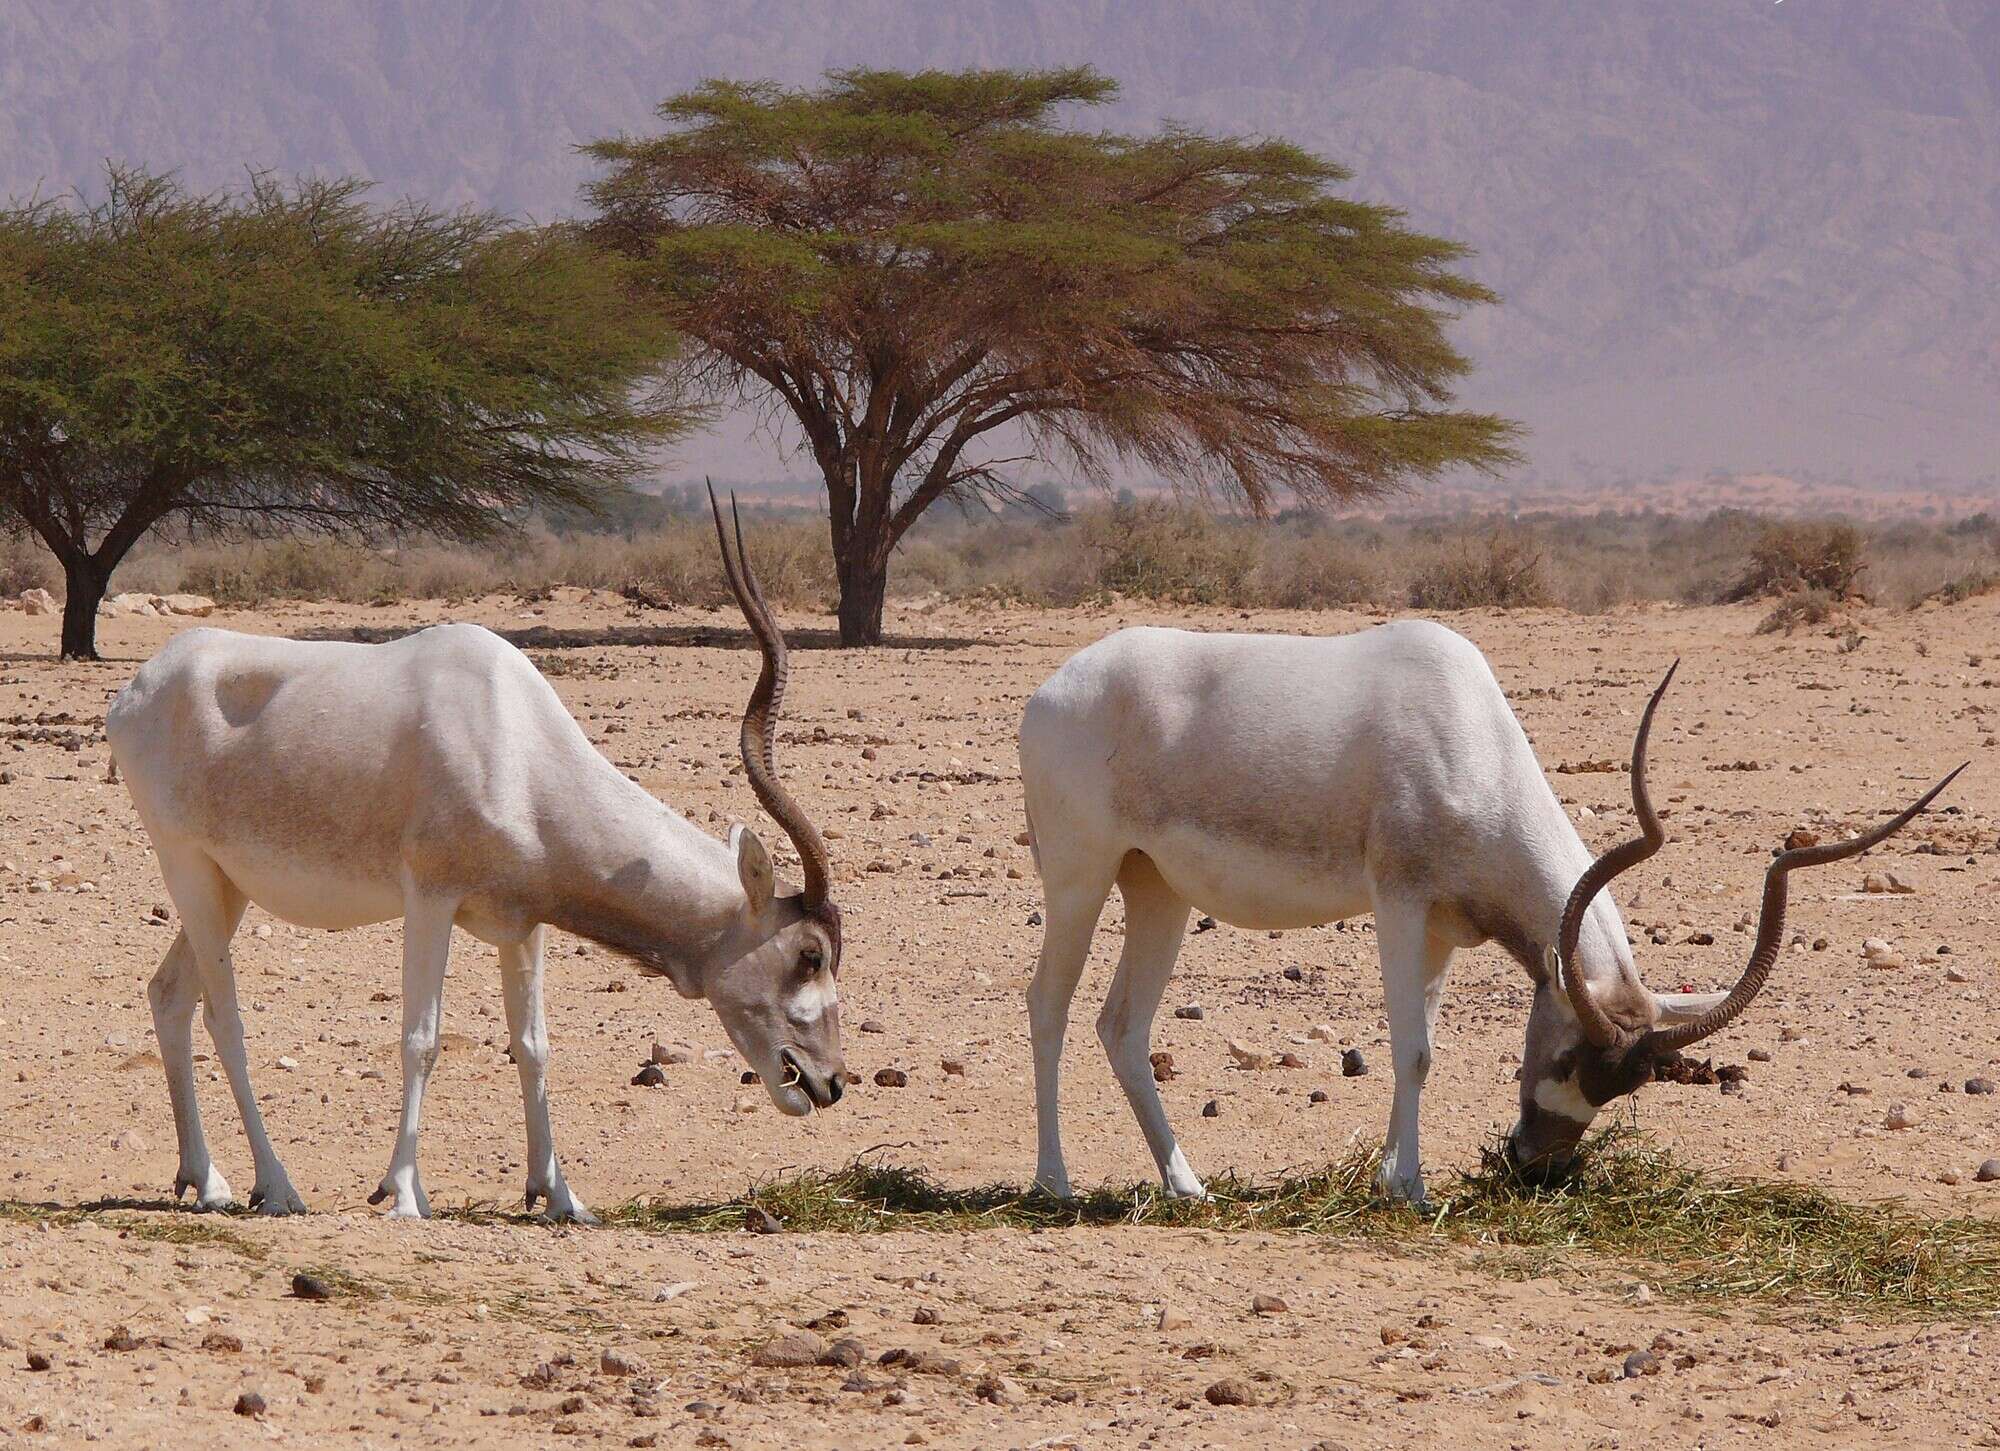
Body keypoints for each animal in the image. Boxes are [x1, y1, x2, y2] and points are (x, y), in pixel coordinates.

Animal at [105, 495, 845, 1222]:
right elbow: (421, 1037)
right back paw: (275, 1186)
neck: (514, 740)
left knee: (169, 994)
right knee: (222, 1015)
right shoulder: (430, 899)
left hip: (227, 887)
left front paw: (559, 1196)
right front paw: (404, 1191)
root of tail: (136, 691)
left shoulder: (525, 922)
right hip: (188, 868)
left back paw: (206, 1179)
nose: (831, 1081)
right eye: (809, 955)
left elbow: (534, 1045)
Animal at [1020, 621, 1958, 1203]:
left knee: (1123, 1025)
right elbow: (1413, 1048)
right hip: (1079, 877)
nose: (1533, 1163)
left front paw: (1388, 1175)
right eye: (1572, 1056)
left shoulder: (1442, 928)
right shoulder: (1398, 902)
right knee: (1049, 1006)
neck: (1467, 733)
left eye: (1624, 1085)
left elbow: (1422, 1048)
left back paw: (1188, 1185)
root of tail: (1051, 690)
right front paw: (1412, 1188)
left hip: (1157, 889)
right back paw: (1054, 1182)